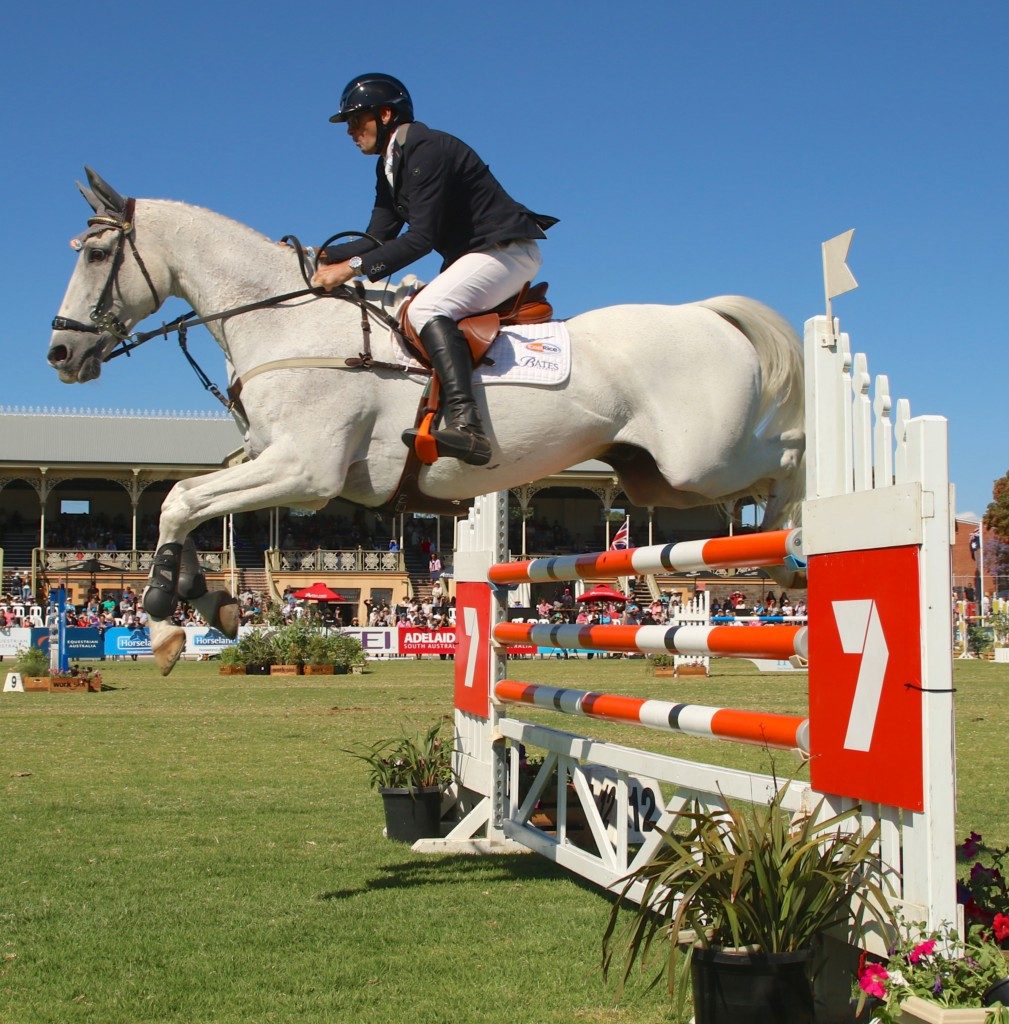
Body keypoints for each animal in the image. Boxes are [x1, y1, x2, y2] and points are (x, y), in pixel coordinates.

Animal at [45, 172, 803, 675]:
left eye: (96, 254)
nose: (60, 354)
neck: (287, 320)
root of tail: (704, 314)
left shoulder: (306, 471)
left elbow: (177, 501)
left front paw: (162, 624)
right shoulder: (264, 461)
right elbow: (190, 502)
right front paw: (210, 606)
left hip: (702, 461)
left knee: (789, 453)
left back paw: (791, 549)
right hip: (655, 480)